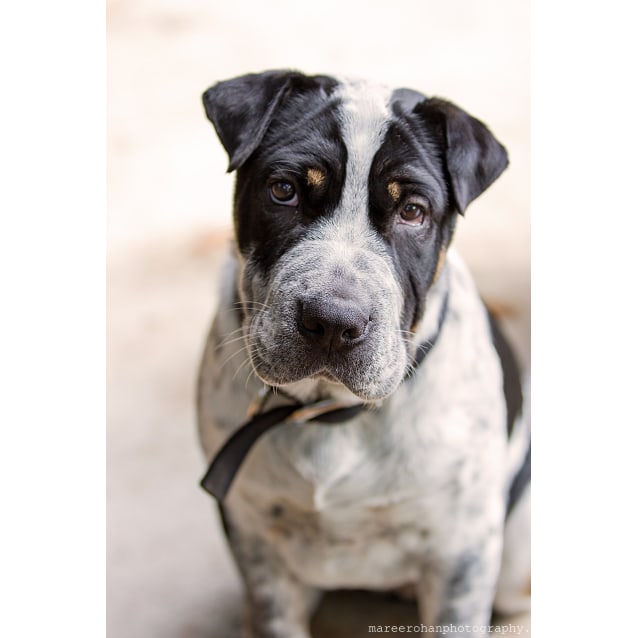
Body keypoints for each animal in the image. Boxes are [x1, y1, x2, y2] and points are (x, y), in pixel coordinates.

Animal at [198, 71, 532, 638]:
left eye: (413, 212)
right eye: (283, 190)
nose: (333, 324)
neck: (329, 412)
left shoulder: (460, 555)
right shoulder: (255, 540)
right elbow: (273, 619)